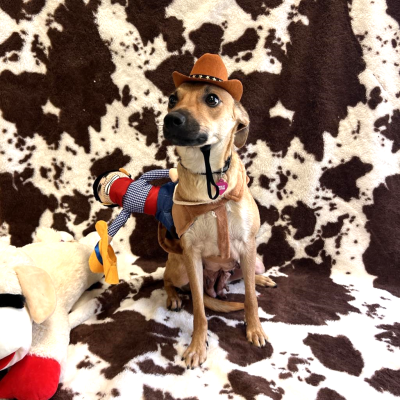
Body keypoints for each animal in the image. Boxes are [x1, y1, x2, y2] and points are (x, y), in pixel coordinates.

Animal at [161, 77, 276, 368]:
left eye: (212, 99)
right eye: (172, 99)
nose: (170, 119)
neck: (208, 176)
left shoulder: (247, 245)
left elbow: (250, 299)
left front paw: (254, 329)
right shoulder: (191, 254)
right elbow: (199, 311)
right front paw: (196, 346)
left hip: (253, 260)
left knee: (247, 278)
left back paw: (261, 280)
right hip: (180, 268)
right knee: (167, 279)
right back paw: (174, 296)